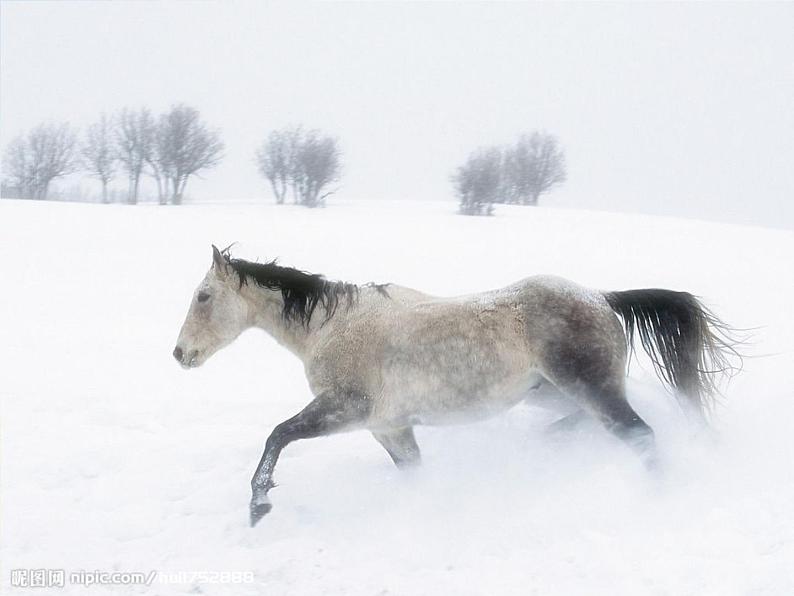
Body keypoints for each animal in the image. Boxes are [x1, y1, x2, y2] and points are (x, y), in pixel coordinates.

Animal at [172, 246, 736, 528]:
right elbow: (414, 473)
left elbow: (278, 435)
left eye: (203, 296)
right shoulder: (389, 427)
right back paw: (549, 443)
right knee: (597, 420)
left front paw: (258, 507)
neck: (333, 326)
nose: (180, 354)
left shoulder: (345, 409)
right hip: (552, 391)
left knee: (640, 435)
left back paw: (658, 498)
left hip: (589, 387)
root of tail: (600, 297)